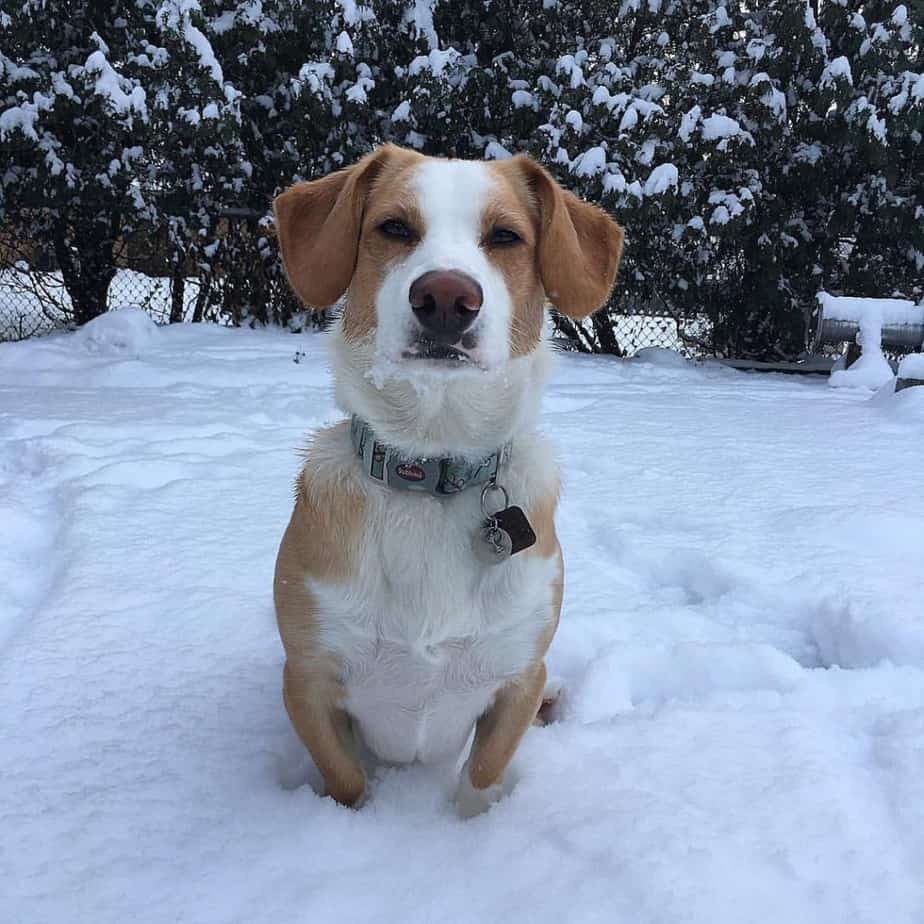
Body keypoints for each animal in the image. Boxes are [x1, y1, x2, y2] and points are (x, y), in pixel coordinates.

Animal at [270, 144, 624, 816]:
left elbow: (482, 776)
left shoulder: (519, 676)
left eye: (506, 236)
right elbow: (345, 779)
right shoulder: (307, 678)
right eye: (393, 227)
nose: (445, 296)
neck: (431, 469)